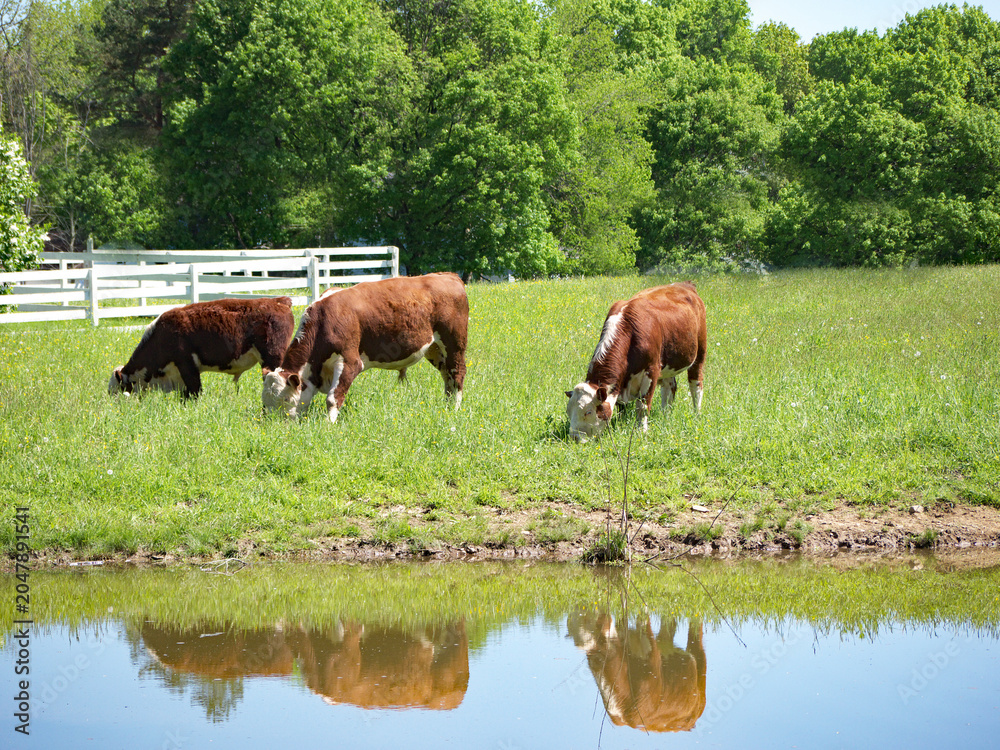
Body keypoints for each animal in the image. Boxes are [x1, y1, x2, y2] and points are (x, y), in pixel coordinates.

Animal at [262, 273, 468, 422]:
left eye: (286, 399)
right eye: (264, 400)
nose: (273, 423)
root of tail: (448, 275)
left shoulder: (350, 362)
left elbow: (333, 398)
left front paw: (328, 424)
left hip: (455, 343)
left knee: (457, 373)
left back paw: (455, 408)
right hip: (435, 349)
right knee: (447, 376)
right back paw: (447, 405)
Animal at [566, 281, 706, 442]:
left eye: (588, 412)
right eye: (568, 411)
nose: (574, 437)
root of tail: (684, 284)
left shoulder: (651, 371)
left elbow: (643, 405)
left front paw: (641, 431)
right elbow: (621, 406)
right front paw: (620, 423)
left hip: (699, 353)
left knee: (696, 384)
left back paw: (696, 413)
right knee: (669, 387)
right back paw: (666, 414)